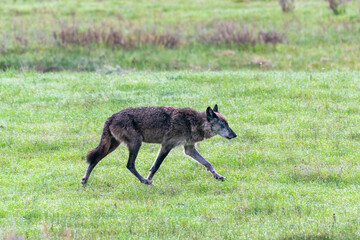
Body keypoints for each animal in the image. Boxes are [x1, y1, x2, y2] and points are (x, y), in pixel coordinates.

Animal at [82, 104, 238, 185]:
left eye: (227, 124)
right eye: (223, 125)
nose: (234, 135)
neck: (193, 122)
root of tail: (111, 117)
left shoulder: (189, 149)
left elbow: (208, 164)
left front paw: (218, 176)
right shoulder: (166, 145)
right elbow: (156, 166)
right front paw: (149, 179)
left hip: (112, 146)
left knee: (94, 160)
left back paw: (84, 180)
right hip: (135, 143)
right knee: (129, 165)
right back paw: (144, 181)